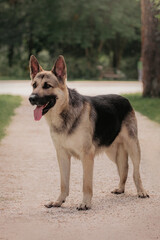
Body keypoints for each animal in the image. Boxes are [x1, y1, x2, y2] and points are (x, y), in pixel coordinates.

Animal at [28, 54, 149, 210]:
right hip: (113, 153)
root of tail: (124, 98)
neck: (65, 112)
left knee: (136, 172)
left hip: (133, 147)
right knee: (124, 169)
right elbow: (64, 183)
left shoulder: (87, 156)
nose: (31, 99)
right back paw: (120, 188)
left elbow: (86, 183)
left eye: (47, 86)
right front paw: (59, 201)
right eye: (34, 85)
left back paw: (141, 191)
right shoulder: (62, 155)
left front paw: (85, 202)